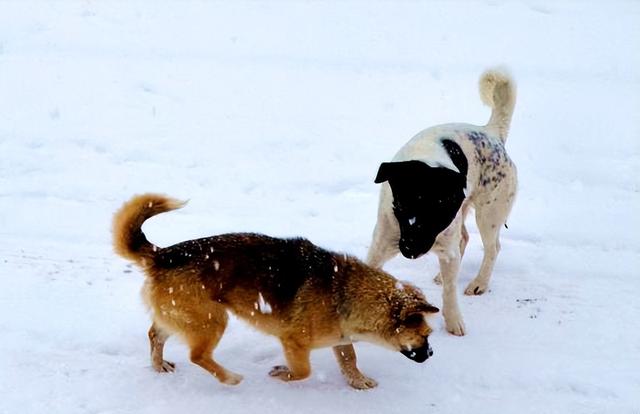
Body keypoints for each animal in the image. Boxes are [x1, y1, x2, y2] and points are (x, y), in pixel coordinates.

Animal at [112, 193, 438, 388]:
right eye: (425, 335)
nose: (431, 353)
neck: (347, 292)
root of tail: (163, 255)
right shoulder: (293, 342)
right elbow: (304, 371)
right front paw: (284, 374)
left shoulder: (340, 337)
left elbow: (349, 359)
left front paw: (357, 381)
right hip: (212, 320)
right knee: (198, 356)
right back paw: (229, 378)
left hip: (182, 315)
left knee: (155, 335)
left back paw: (158, 365)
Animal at [364, 69, 516, 334]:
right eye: (401, 206)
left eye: (438, 214)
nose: (409, 250)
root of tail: (491, 131)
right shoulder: (380, 244)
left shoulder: (446, 240)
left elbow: (450, 291)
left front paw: (453, 321)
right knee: (464, 239)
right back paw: (442, 275)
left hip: (489, 214)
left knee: (491, 248)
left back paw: (479, 283)